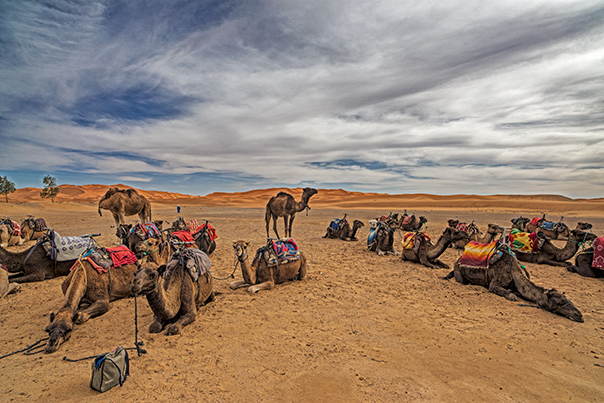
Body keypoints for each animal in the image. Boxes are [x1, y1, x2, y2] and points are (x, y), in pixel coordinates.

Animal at [448, 245, 584, 324]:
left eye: (569, 300)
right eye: (559, 302)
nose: (579, 315)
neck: (514, 271)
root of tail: (459, 257)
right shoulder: (494, 284)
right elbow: (510, 295)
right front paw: (512, 295)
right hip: (458, 269)